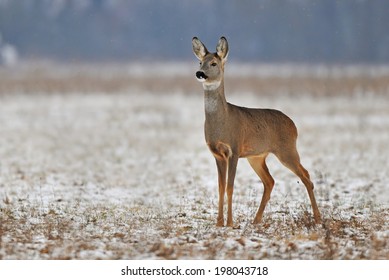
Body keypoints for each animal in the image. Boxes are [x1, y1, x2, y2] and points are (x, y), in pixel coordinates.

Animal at [192, 36, 322, 226]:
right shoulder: (217, 153)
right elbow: (220, 187)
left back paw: (318, 218)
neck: (221, 123)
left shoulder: (234, 149)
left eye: (214, 63)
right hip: (257, 157)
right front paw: (219, 223)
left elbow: (230, 187)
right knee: (270, 181)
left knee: (306, 176)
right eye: (200, 62)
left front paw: (230, 223)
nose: (199, 73)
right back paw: (256, 220)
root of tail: (294, 125)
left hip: (287, 150)